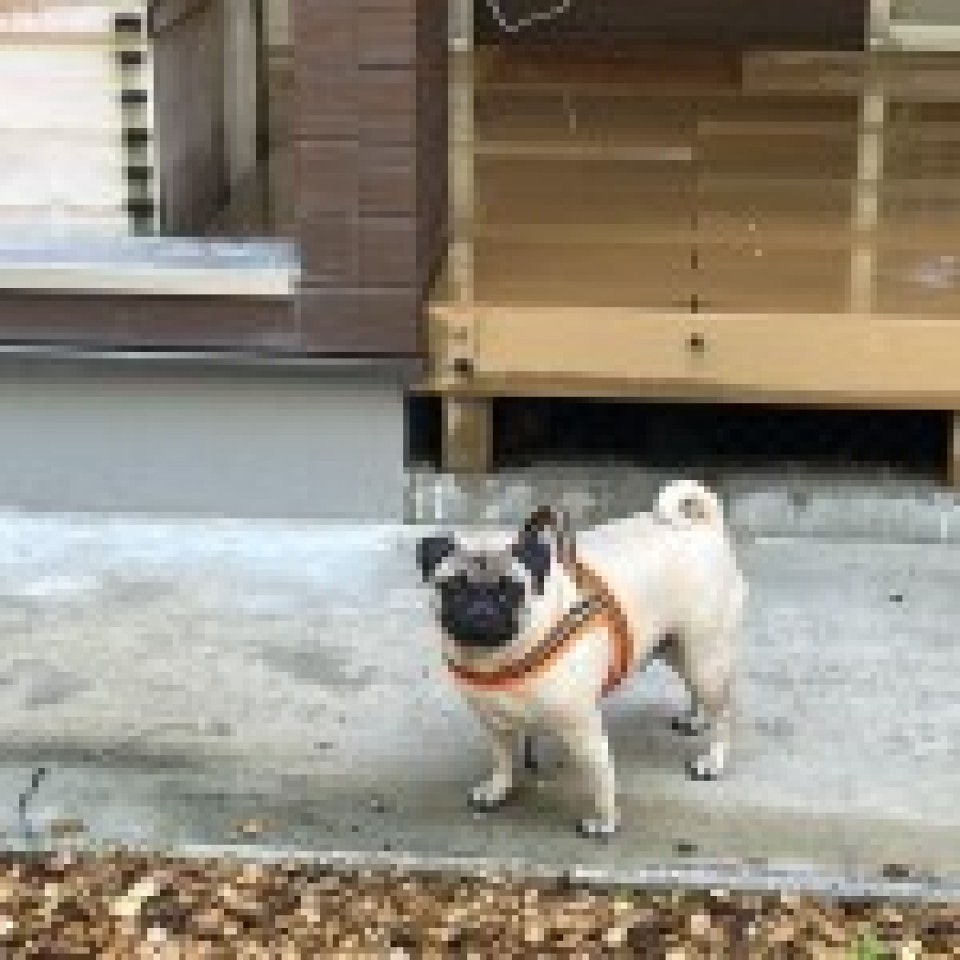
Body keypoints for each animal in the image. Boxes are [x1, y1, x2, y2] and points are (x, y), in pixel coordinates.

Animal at [416, 479, 747, 839]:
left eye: (510, 591)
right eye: (452, 588)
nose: (480, 608)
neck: (497, 656)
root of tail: (705, 528)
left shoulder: (581, 728)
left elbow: (599, 777)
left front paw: (604, 821)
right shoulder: (495, 724)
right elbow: (503, 761)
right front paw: (497, 788)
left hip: (704, 654)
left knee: (723, 713)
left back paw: (712, 760)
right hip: (677, 647)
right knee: (696, 690)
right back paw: (695, 718)